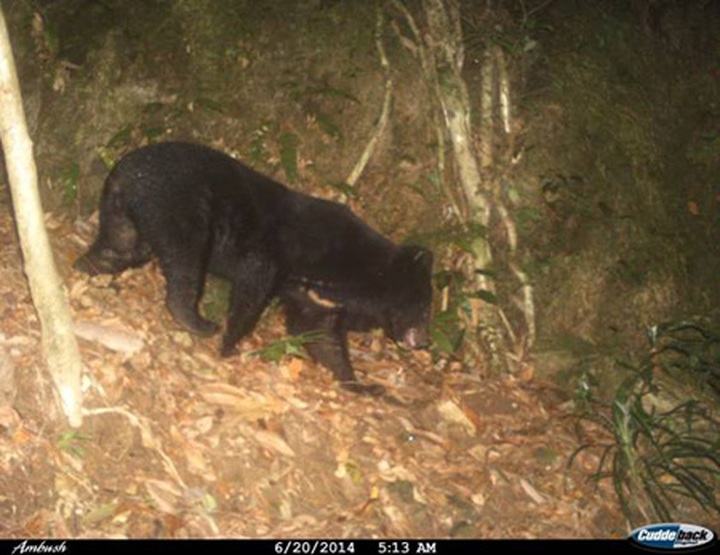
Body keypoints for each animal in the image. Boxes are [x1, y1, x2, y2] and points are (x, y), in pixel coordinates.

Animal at [75, 142, 433, 395]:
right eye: (426, 307)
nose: (425, 340)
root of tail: (125, 169)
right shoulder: (283, 252)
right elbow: (253, 286)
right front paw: (230, 344)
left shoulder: (317, 298)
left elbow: (320, 334)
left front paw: (362, 385)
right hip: (182, 208)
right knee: (186, 263)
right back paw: (198, 321)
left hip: (120, 213)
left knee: (120, 246)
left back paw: (85, 269)